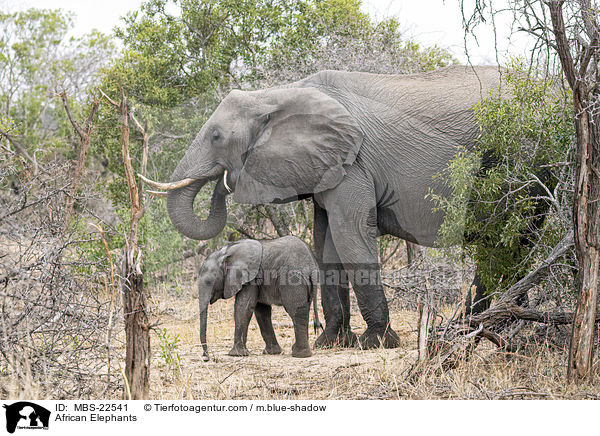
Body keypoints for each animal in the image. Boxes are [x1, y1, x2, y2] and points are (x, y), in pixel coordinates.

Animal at [143, 64, 504, 350]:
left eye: (217, 136)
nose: (225, 182)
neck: (274, 96)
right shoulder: (327, 168)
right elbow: (325, 241)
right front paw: (331, 341)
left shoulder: (353, 163)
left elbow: (349, 234)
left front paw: (376, 342)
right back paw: (475, 325)